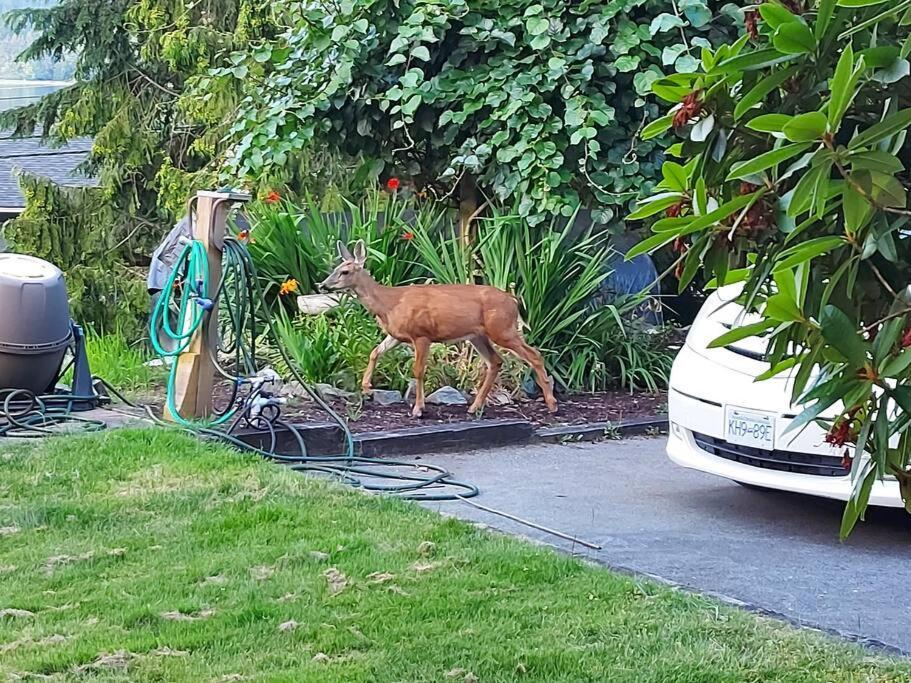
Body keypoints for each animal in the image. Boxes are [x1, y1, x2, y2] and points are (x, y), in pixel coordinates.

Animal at [320, 240, 564, 422]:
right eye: (334, 269)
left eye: (344, 271)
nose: (323, 285)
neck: (389, 304)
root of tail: (514, 300)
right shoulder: (397, 335)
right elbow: (374, 352)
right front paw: (366, 387)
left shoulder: (422, 335)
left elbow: (418, 370)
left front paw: (418, 409)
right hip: (479, 335)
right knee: (496, 361)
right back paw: (474, 407)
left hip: (502, 329)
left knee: (534, 354)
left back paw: (552, 405)